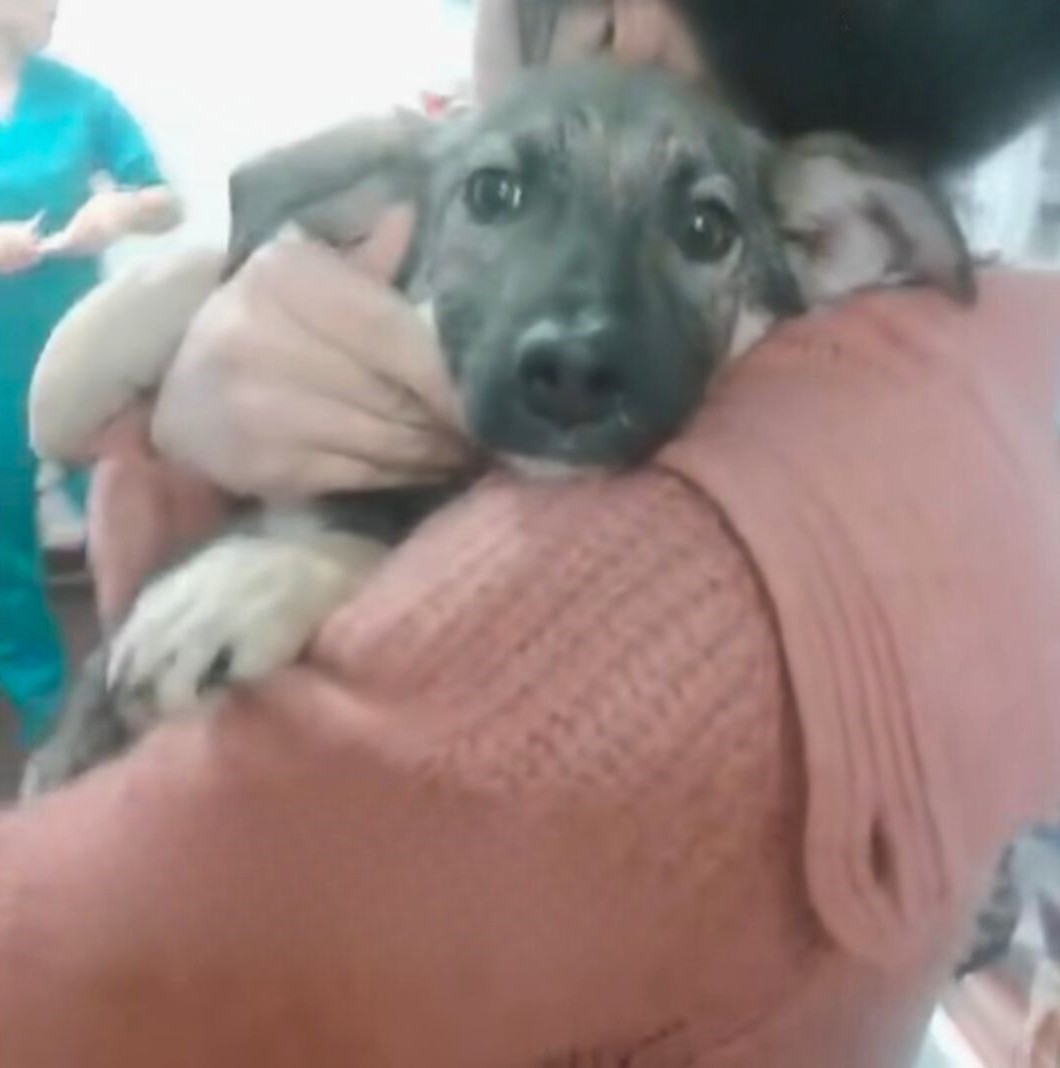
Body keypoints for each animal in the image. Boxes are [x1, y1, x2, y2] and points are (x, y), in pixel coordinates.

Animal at [18, 58, 977, 794]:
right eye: (493, 193)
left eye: (707, 230)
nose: (574, 374)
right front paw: (86, 356)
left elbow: (374, 546)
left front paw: (246, 585)